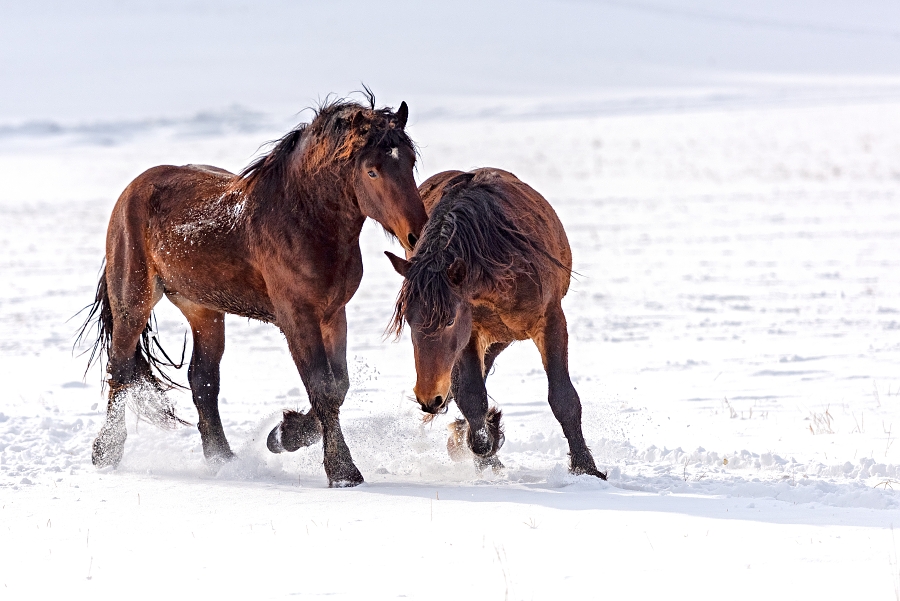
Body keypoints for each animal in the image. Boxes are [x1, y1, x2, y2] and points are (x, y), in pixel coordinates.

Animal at [79, 96, 428, 486]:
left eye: (410, 162)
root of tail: (134, 188)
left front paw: (283, 435)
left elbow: (339, 386)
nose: (416, 234)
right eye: (372, 171)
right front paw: (342, 471)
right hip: (133, 301)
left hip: (203, 310)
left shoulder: (333, 315)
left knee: (202, 380)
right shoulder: (297, 318)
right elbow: (323, 387)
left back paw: (222, 459)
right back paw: (106, 453)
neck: (303, 222)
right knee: (120, 368)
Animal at [384, 168, 604, 478]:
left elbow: (563, 397)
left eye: (449, 320)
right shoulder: (470, 333)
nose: (428, 398)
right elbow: (471, 395)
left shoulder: (550, 320)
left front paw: (586, 467)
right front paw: (485, 452)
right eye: (408, 321)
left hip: (503, 337)